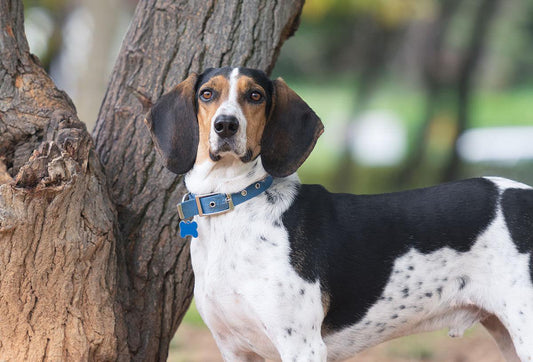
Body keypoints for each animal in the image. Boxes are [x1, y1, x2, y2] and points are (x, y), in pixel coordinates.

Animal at [143, 66, 528, 360]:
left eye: (255, 96)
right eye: (208, 94)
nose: (225, 125)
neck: (234, 203)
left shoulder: (302, 346)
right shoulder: (234, 349)